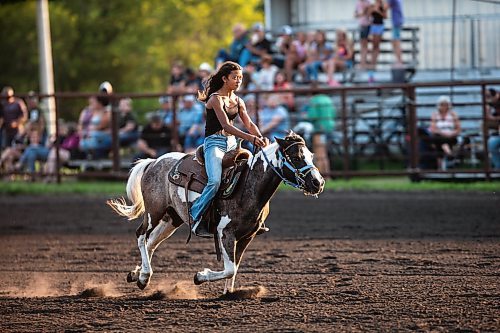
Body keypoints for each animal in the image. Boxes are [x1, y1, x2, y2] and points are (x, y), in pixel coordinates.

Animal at [107, 132, 324, 294]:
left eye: (311, 156)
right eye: (296, 157)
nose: (318, 182)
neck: (249, 185)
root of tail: (153, 162)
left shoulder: (247, 236)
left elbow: (234, 268)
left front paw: (228, 293)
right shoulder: (225, 233)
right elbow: (229, 268)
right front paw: (200, 276)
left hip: (172, 219)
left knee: (151, 243)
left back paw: (138, 274)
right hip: (154, 212)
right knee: (141, 236)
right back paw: (144, 276)